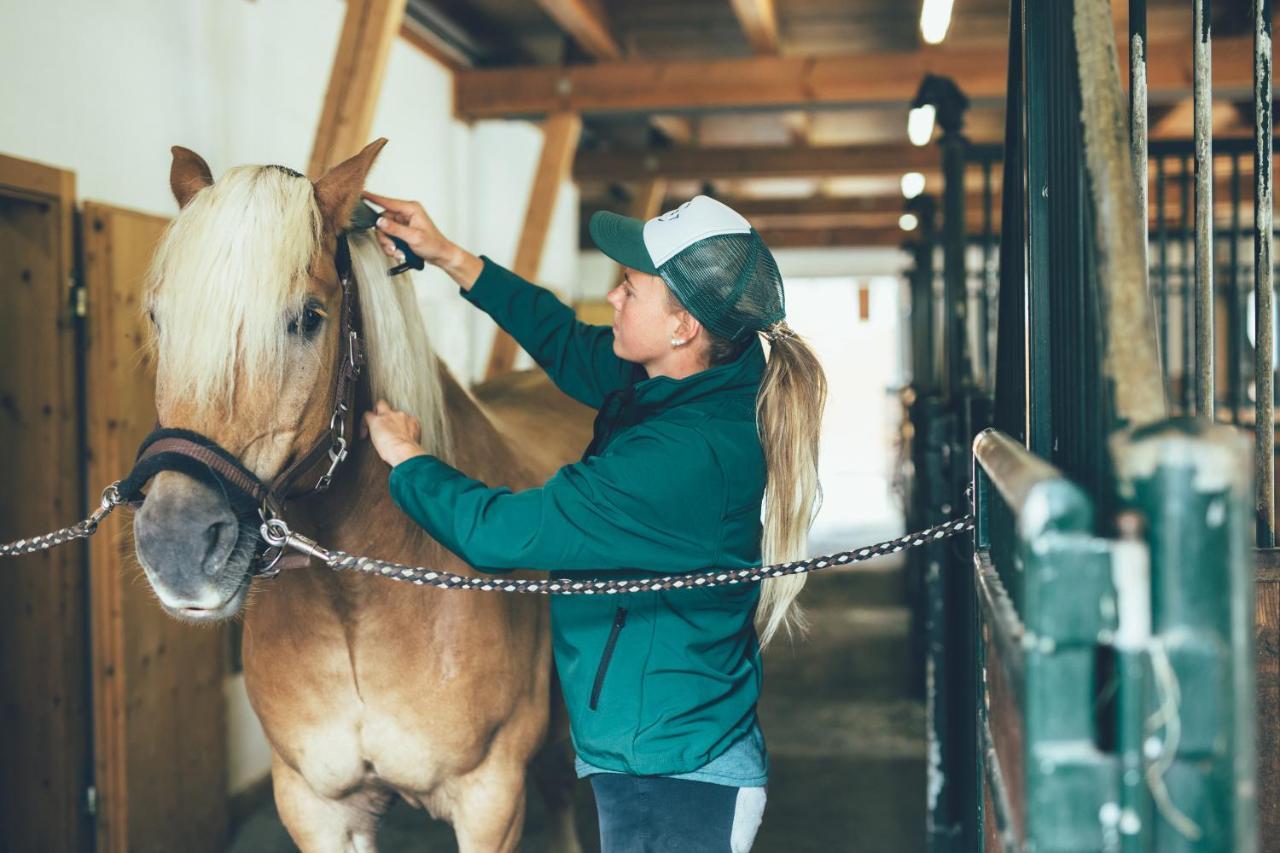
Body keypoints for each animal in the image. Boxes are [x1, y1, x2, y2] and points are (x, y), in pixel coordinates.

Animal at [128, 136, 588, 845]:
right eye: (159, 317)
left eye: (308, 319)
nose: (176, 546)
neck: (358, 607)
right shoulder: (315, 806)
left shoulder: (490, 800)